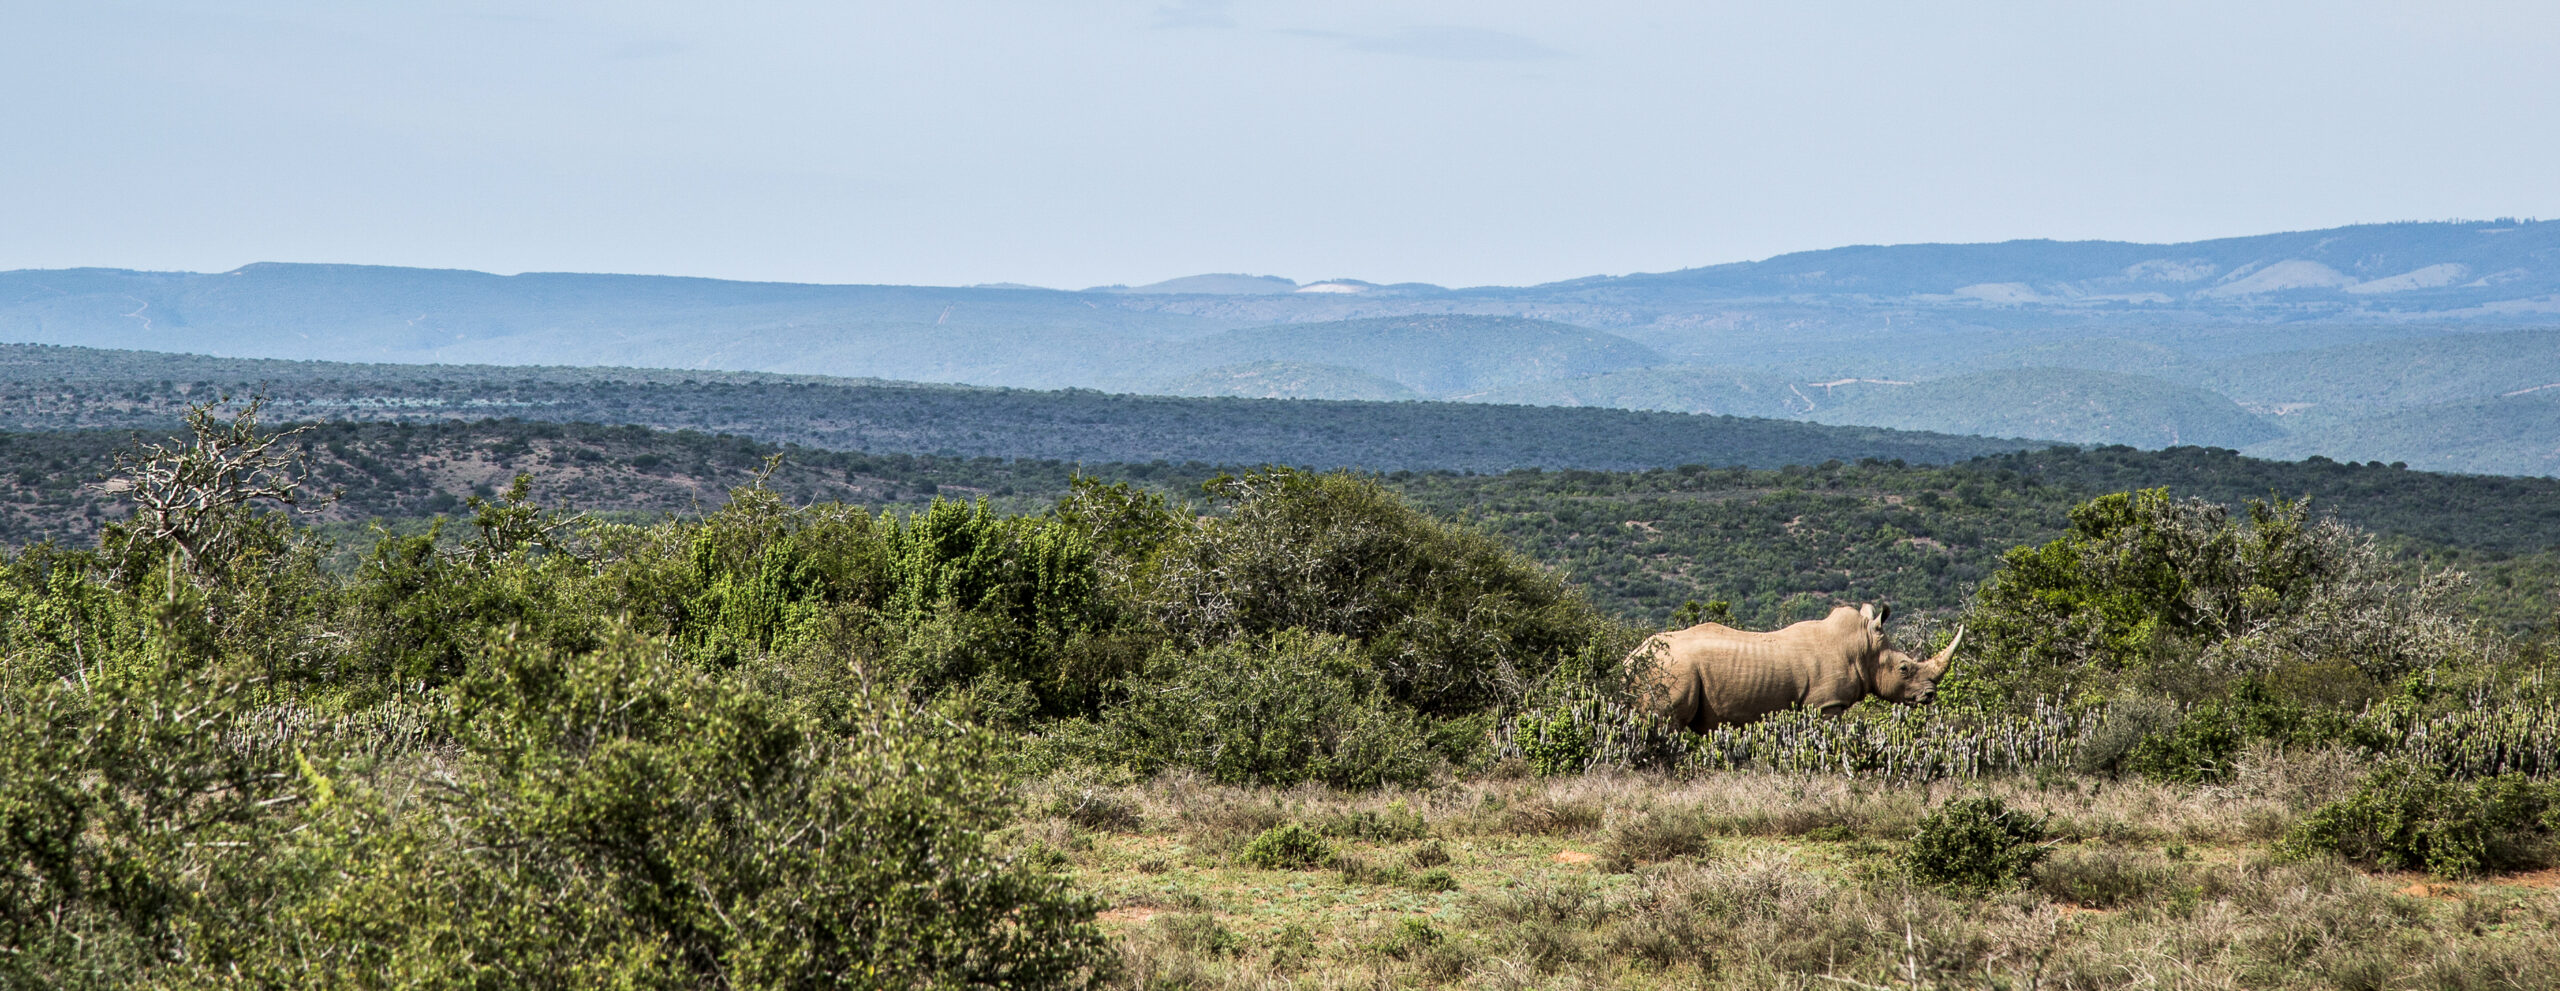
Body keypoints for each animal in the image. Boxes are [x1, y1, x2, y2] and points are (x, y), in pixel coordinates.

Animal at [1631, 603, 1962, 732]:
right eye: (1904, 668)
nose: (1930, 695)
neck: (1861, 647)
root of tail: (1632, 656)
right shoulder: (1827, 703)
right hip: (1673, 669)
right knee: (1667, 723)